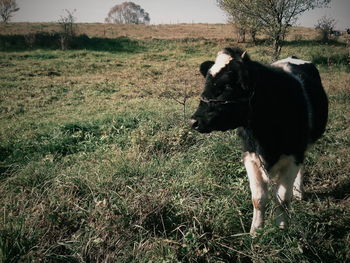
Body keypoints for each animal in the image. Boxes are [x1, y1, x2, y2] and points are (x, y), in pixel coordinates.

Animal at [189, 48, 328, 234]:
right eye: (206, 83)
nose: (193, 121)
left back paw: (299, 191)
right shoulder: (251, 156)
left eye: (228, 85)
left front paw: (281, 228)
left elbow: (282, 198)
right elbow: (258, 198)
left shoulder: (294, 155)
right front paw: (256, 231)